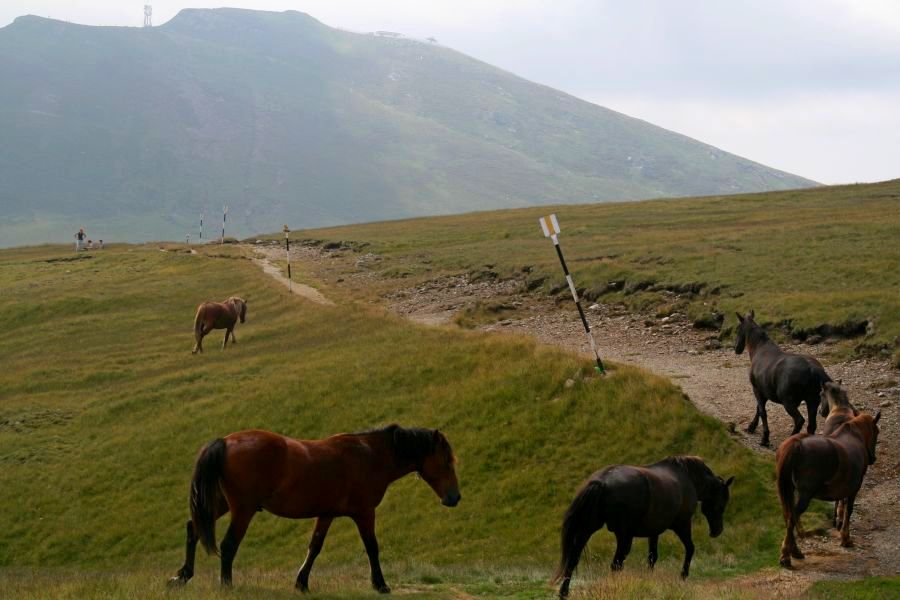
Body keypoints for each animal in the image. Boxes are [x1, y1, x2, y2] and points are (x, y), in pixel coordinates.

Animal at [168, 426, 460, 592]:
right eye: (446, 460)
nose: (454, 497)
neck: (369, 455)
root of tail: (225, 442)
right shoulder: (365, 513)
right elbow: (372, 547)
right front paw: (380, 584)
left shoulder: (327, 514)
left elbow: (315, 547)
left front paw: (302, 583)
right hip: (242, 509)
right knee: (228, 545)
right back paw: (227, 585)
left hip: (219, 504)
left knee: (194, 529)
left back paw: (183, 576)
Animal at [552, 458, 736, 596]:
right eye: (722, 504)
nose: (717, 531)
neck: (688, 478)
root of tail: (602, 481)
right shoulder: (682, 524)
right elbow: (690, 548)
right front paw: (683, 575)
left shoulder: (654, 531)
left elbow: (652, 556)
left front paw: (649, 580)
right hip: (624, 536)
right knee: (616, 564)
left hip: (587, 529)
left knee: (573, 558)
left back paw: (564, 592)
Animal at [732, 310, 828, 446]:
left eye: (738, 329)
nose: (736, 348)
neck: (760, 349)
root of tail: (813, 369)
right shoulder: (764, 392)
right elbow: (758, 409)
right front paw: (752, 427)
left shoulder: (757, 389)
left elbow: (762, 412)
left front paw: (765, 438)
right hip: (813, 401)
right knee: (811, 426)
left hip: (788, 402)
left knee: (799, 420)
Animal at [772, 410, 880, 564]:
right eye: (876, 432)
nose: (873, 458)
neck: (854, 435)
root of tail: (797, 444)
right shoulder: (854, 488)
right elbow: (848, 510)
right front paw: (846, 538)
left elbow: (841, 505)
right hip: (805, 495)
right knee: (793, 517)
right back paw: (787, 555)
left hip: (790, 491)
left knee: (789, 515)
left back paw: (794, 551)